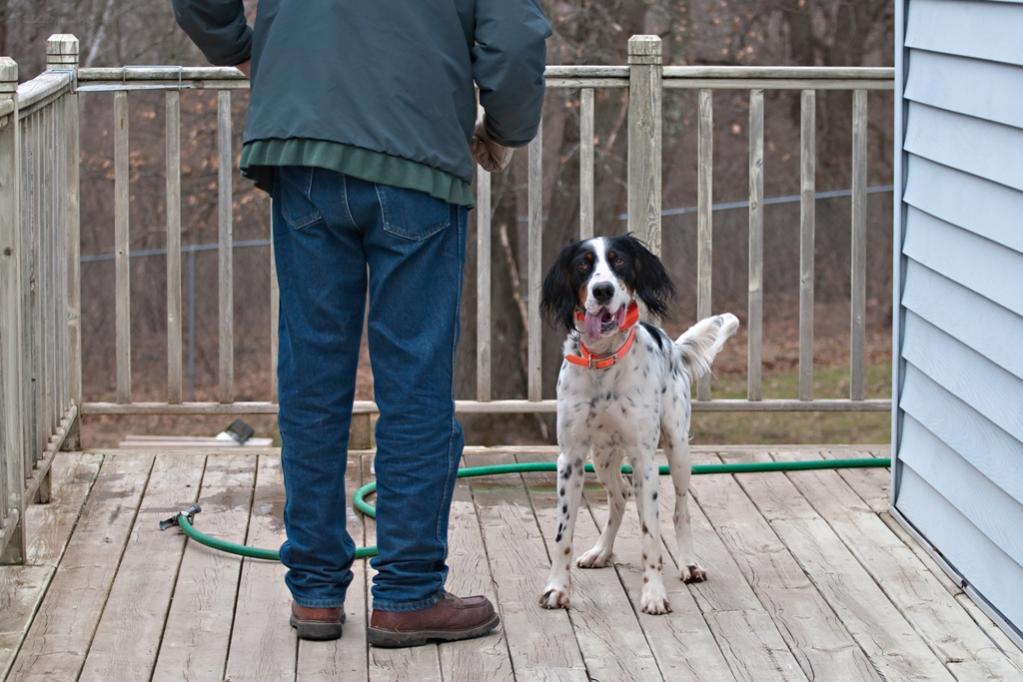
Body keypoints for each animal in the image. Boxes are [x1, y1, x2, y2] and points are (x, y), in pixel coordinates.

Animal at [536, 237, 736, 617]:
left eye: (619, 262)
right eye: (583, 264)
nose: (602, 290)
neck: (603, 359)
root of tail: (672, 344)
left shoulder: (645, 459)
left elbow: (650, 534)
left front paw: (654, 594)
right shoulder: (570, 458)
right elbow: (562, 534)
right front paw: (556, 588)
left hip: (677, 449)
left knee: (680, 510)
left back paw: (689, 564)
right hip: (601, 458)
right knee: (619, 497)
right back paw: (601, 551)